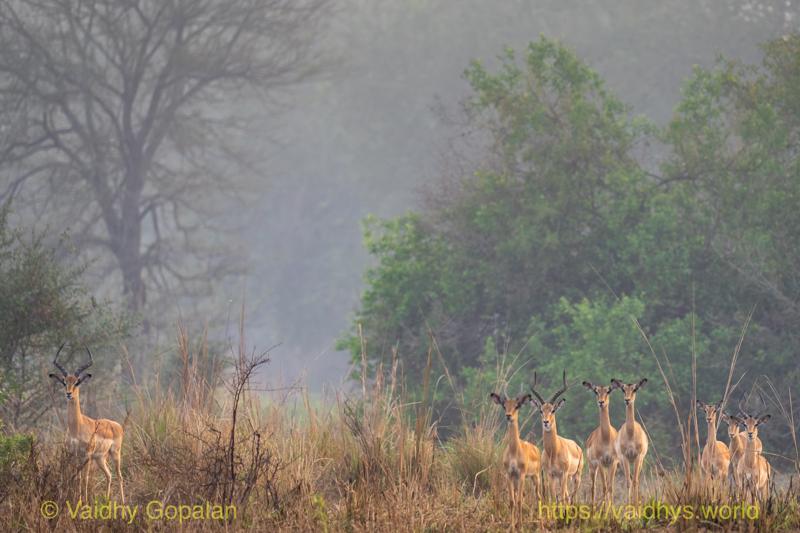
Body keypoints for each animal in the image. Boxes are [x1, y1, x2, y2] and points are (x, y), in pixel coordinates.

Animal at [48, 345, 125, 504]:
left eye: (77, 382)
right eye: (64, 381)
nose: (68, 394)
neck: (77, 427)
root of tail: (117, 425)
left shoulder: (87, 455)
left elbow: (85, 479)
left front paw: (84, 503)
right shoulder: (74, 454)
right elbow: (77, 479)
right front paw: (77, 501)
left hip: (115, 453)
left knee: (119, 476)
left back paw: (123, 503)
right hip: (100, 458)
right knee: (109, 475)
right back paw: (106, 501)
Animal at [490, 393, 541, 527]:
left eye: (517, 406)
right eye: (504, 405)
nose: (508, 415)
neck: (514, 452)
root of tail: (536, 449)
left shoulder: (521, 474)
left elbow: (518, 501)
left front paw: (520, 524)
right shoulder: (509, 474)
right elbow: (512, 501)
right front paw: (512, 525)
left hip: (535, 476)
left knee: (538, 496)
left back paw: (539, 521)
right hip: (520, 479)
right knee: (523, 495)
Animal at [530, 370, 583, 504]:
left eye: (553, 410)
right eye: (541, 410)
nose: (546, 422)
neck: (554, 451)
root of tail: (577, 446)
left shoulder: (563, 473)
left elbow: (562, 497)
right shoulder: (551, 474)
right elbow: (554, 497)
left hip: (576, 476)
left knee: (572, 497)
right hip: (566, 478)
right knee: (568, 496)